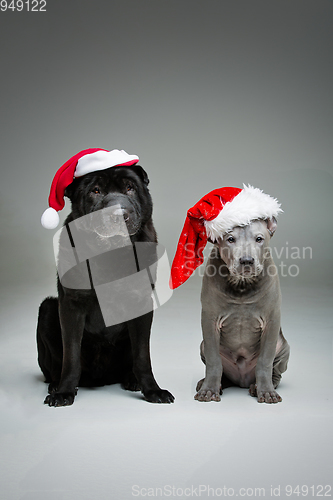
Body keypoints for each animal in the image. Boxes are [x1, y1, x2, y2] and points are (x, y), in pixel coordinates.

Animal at [37, 146, 174, 404]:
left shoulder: (141, 303)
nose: (119, 213)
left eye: (130, 187)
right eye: (95, 191)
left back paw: (132, 380)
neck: (111, 254)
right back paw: (55, 385)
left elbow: (143, 356)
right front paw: (64, 391)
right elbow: (71, 356)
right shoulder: (72, 304)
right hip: (47, 309)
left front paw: (153, 390)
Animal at [195, 217, 288, 404]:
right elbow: (214, 361)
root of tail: (242, 380)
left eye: (259, 239)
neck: (242, 284)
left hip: (283, 347)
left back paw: (258, 386)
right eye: (230, 239)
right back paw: (212, 383)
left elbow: (265, 361)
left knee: (276, 373)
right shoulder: (209, 320)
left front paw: (266, 391)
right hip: (202, 346)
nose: (246, 260)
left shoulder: (272, 321)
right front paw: (209, 390)